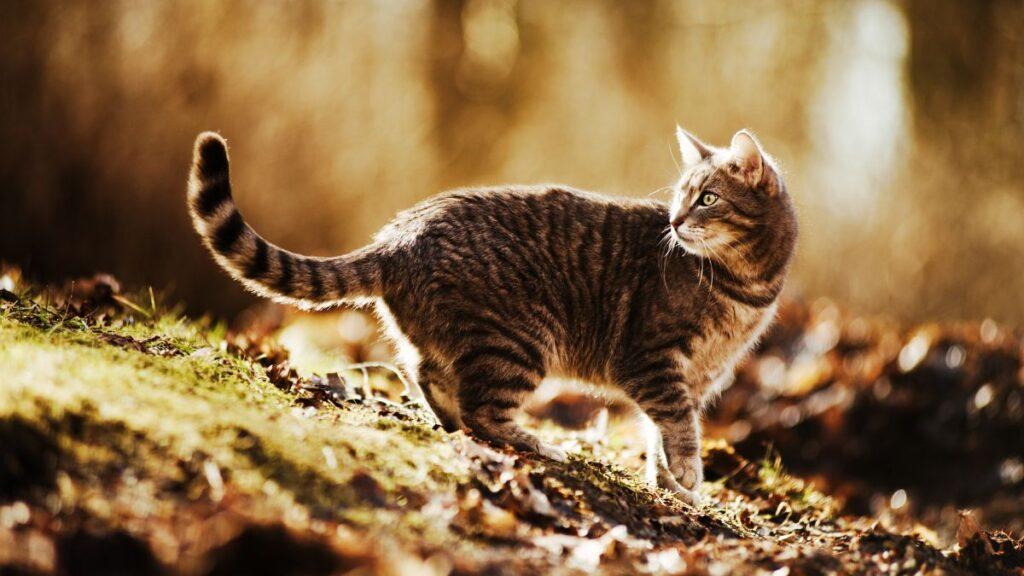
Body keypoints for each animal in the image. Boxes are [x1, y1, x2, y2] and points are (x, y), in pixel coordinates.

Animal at [186, 126, 798, 502]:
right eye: (679, 196)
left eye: (707, 199)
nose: (672, 223)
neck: (746, 289)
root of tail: (397, 237)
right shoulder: (654, 363)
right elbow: (678, 425)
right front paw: (688, 475)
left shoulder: (698, 376)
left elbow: (660, 433)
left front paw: (669, 484)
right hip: (521, 341)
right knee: (483, 409)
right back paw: (534, 442)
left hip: (456, 337)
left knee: (427, 375)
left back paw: (450, 419)